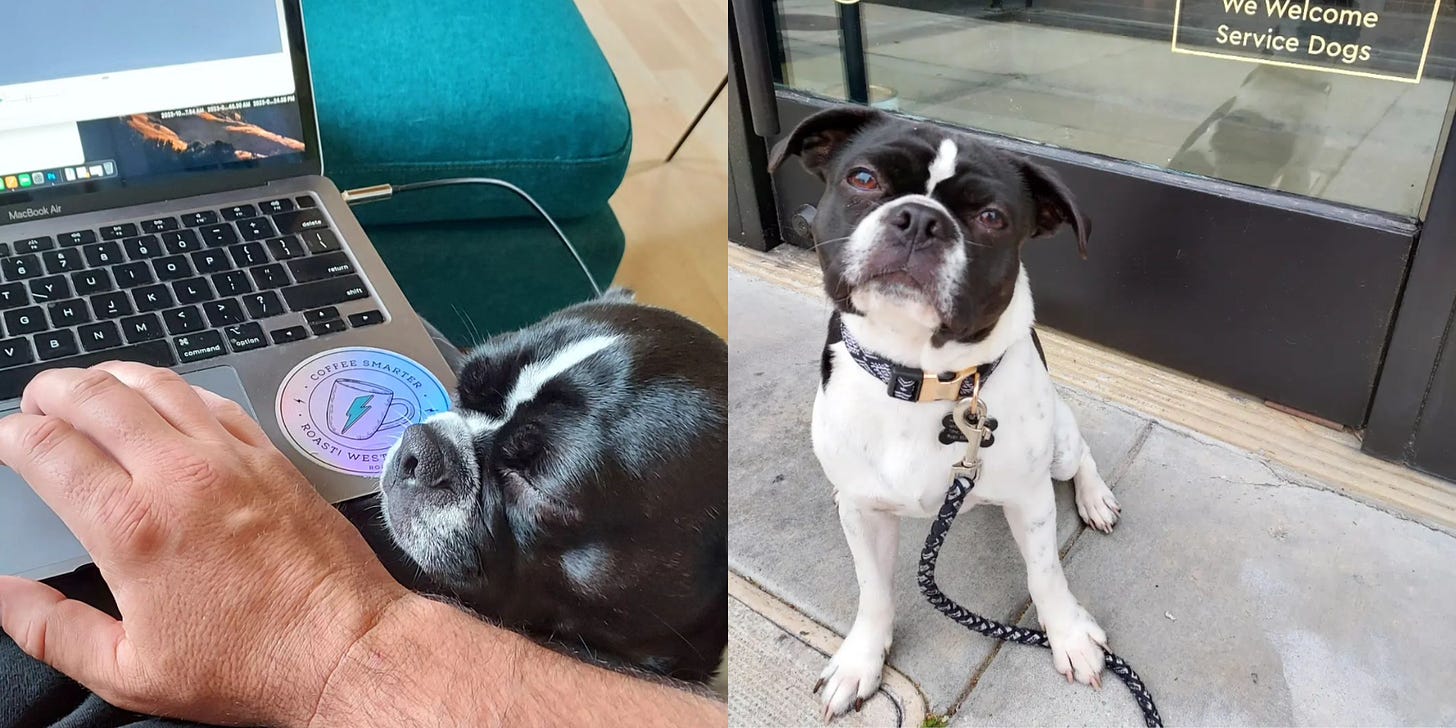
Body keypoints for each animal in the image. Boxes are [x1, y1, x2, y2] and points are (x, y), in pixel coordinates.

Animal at [774, 106, 1124, 716]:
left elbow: (1045, 572)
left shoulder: (1030, 499)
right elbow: (873, 590)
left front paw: (1069, 634)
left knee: (1080, 457)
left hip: (1058, 447)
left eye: (991, 217)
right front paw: (861, 659)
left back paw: (1095, 498)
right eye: (863, 178)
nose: (918, 219)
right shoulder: (864, 513)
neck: (922, 379)